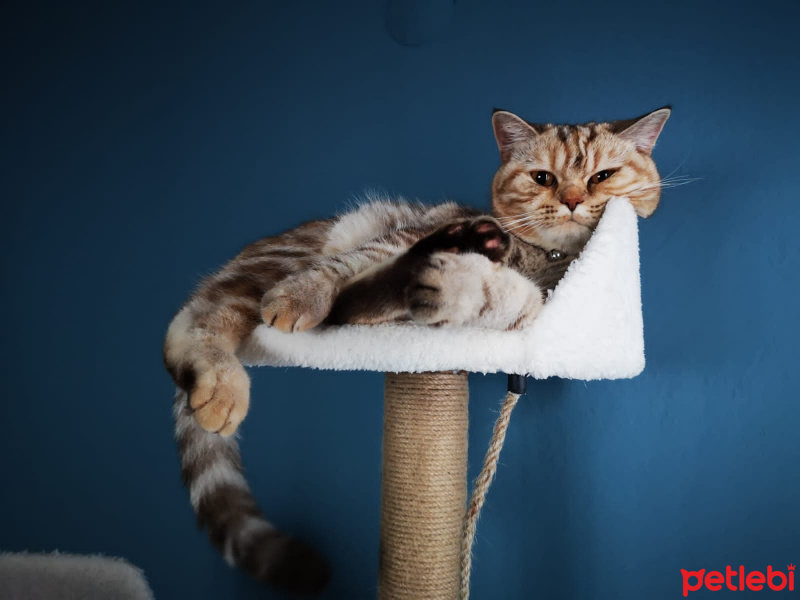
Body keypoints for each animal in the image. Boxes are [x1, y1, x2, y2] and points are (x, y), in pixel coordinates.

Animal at [162, 105, 668, 592]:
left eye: (602, 176)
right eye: (543, 177)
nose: (572, 200)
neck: (542, 260)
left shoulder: (533, 306)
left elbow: (505, 299)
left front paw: (458, 284)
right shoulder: (397, 239)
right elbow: (343, 271)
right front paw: (302, 296)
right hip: (280, 264)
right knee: (196, 319)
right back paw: (223, 386)